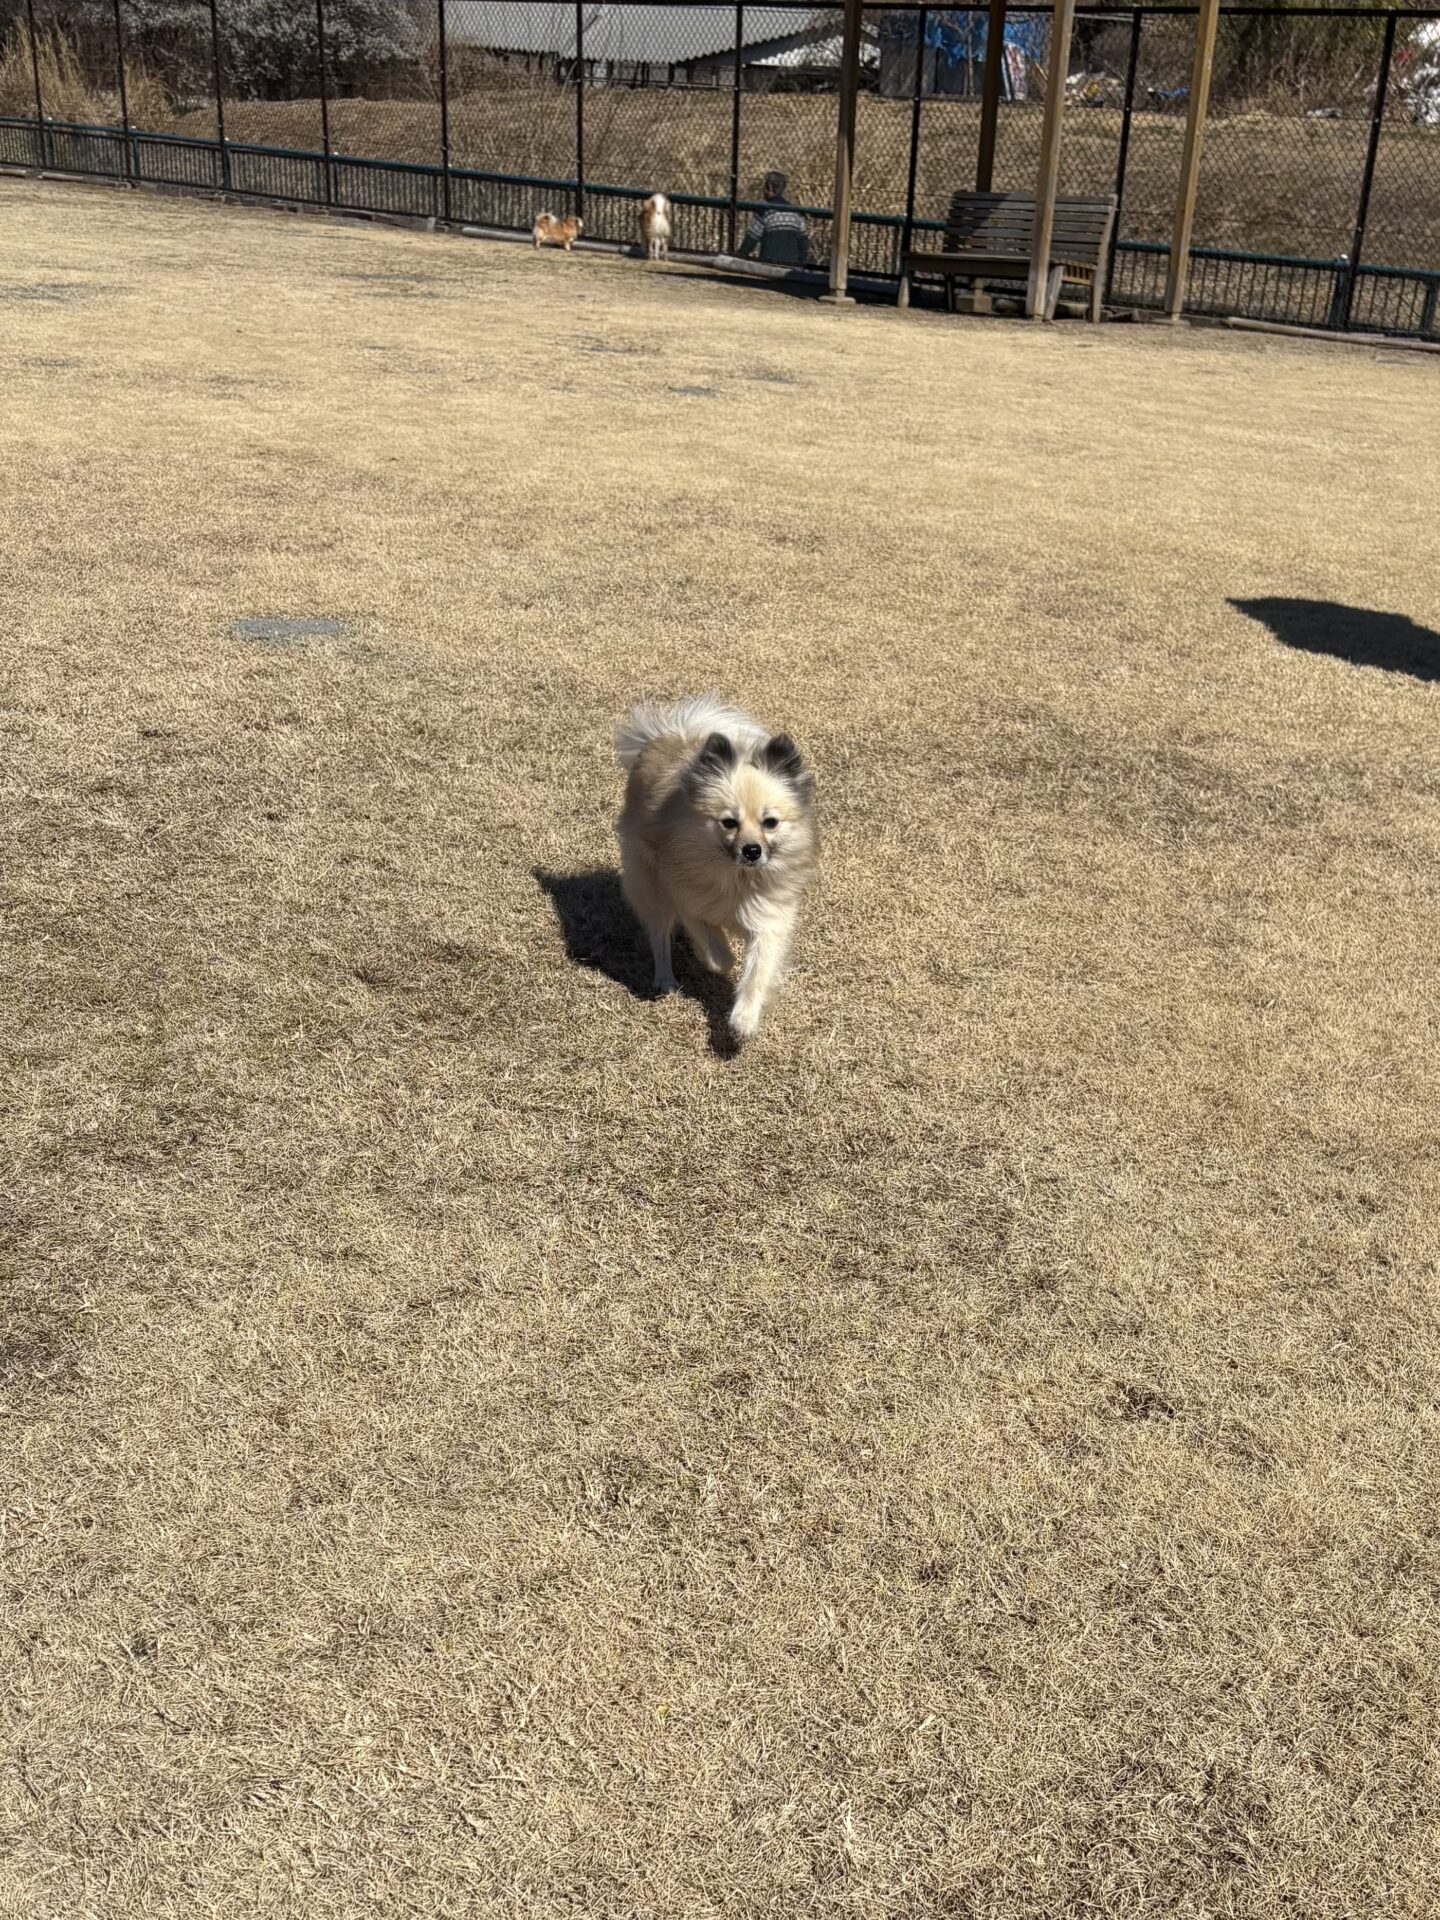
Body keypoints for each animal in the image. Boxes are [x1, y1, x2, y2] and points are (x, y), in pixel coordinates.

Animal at [615, 695, 817, 1041]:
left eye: (770, 822)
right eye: (729, 822)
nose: (752, 851)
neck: (739, 878)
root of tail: (667, 737)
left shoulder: (769, 922)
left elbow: (758, 971)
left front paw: (744, 1020)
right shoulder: (688, 902)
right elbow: (718, 953)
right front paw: (723, 959)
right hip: (650, 884)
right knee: (658, 934)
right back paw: (665, 979)